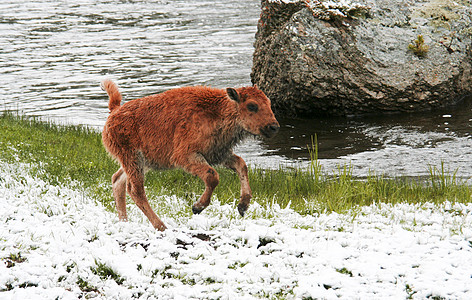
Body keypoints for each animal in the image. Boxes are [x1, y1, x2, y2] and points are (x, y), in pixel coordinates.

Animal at [101, 79, 278, 230]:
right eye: (252, 106)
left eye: (269, 103)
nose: (274, 127)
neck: (217, 111)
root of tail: (114, 112)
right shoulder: (186, 156)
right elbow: (213, 176)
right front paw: (197, 207)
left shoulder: (218, 154)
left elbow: (241, 165)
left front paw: (242, 206)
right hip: (133, 159)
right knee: (135, 190)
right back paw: (161, 227)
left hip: (141, 162)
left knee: (118, 181)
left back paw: (124, 222)